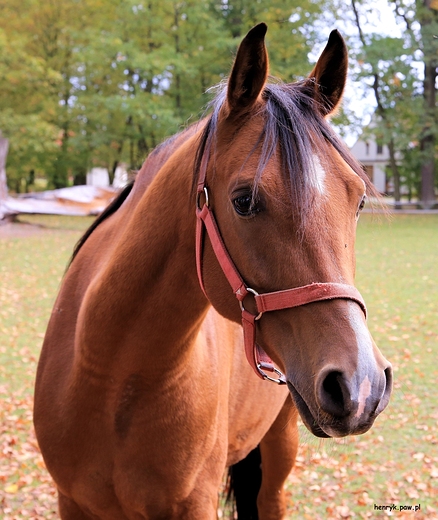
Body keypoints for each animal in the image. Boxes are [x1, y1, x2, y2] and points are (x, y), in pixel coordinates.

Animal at [33, 24, 390, 520]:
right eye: (244, 201)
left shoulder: (194, 504)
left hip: (280, 444)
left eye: (357, 201)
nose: (362, 385)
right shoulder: (71, 501)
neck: (112, 376)